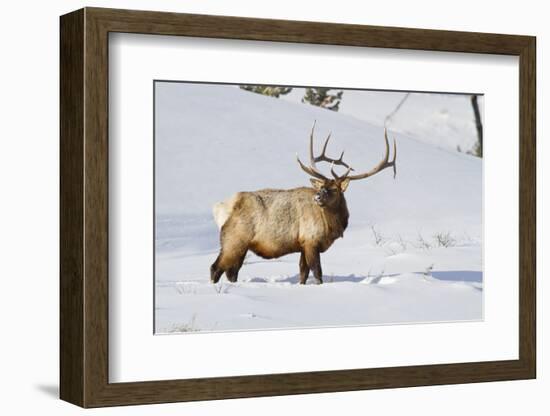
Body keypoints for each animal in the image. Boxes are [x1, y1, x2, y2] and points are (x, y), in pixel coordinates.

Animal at [210, 122, 396, 284]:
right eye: (321, 187)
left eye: (334, 189)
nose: (318, 197)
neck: (332, 226)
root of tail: (220, 208)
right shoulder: (311, 241)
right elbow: (317, 272)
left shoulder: (302, 245)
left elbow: (303, 273)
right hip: (234, 238)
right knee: (216, 268)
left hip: (240, 244)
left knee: (232, 271)